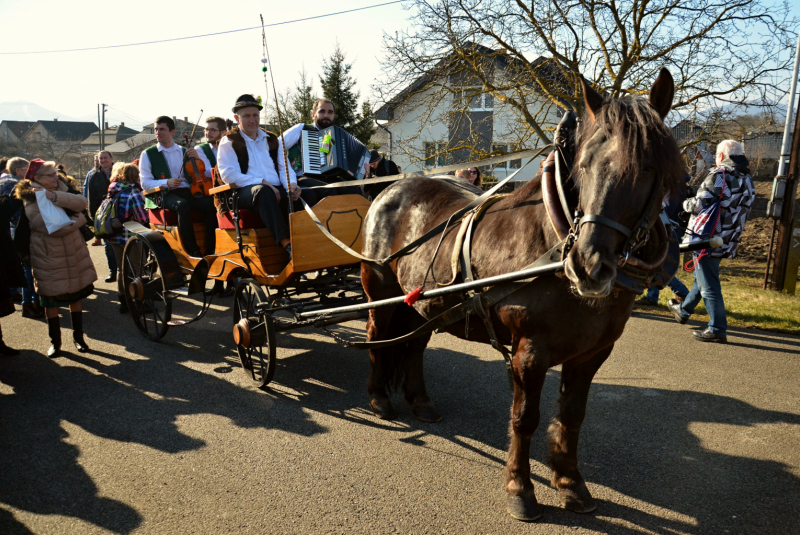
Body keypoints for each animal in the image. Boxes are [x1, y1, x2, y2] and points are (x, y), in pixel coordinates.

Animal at [360, 69, 684, 520]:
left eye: (650, 167)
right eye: (584, 164)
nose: (588, 265)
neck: (554, 239)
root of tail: (391, 189)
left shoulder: (592, 353)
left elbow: (573, 416)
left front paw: (570, 483)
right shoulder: (530, 349)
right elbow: (525, 418)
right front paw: (521, 489)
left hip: (423, 302)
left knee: (414, 346)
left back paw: (421, 402)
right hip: (380, 293)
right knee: (377, 338)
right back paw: (378, 400)